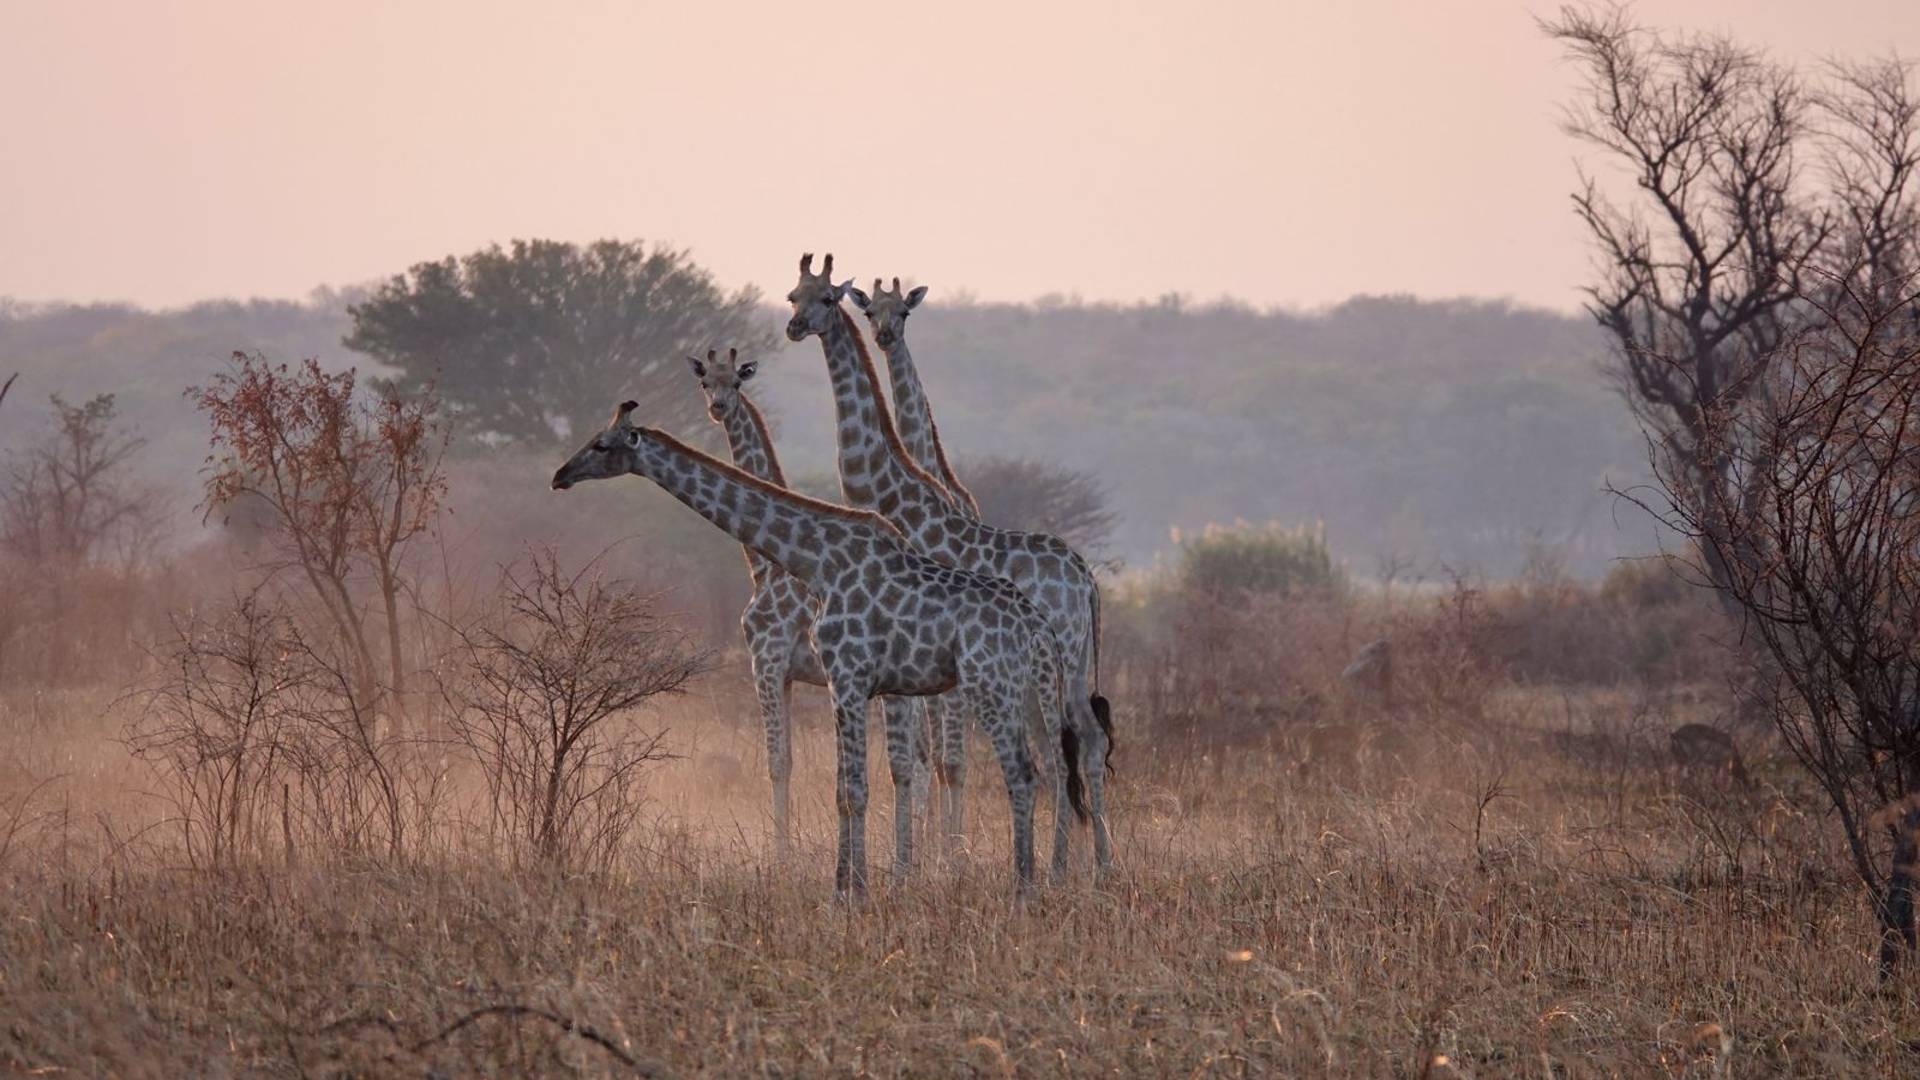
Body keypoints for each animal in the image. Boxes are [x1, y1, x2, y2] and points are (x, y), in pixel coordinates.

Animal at [551, 400, 1080, 894]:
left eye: (601, 444)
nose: (560, 475)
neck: (816, 562)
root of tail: (1035, 624)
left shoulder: (845, 676)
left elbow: (854, 788)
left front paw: (851, 892)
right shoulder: (846, 682)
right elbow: (844, 787)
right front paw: (848, 884)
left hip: (991, 686)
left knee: (1023, 773)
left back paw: (1023, 889)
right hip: (1020, 689)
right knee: (1048, 767)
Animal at [785, 253, 1114, 877]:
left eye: (826, 300)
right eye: (793, 295)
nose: (792, 328)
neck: (890, 494)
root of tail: (1084, 578)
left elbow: (926, 758)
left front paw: (923, 864)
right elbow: (923, 758)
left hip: (1054, 658)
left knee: (1070, 742)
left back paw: (1071, 868)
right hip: (1074, 657)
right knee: (1085, 737)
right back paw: (1092, 866)